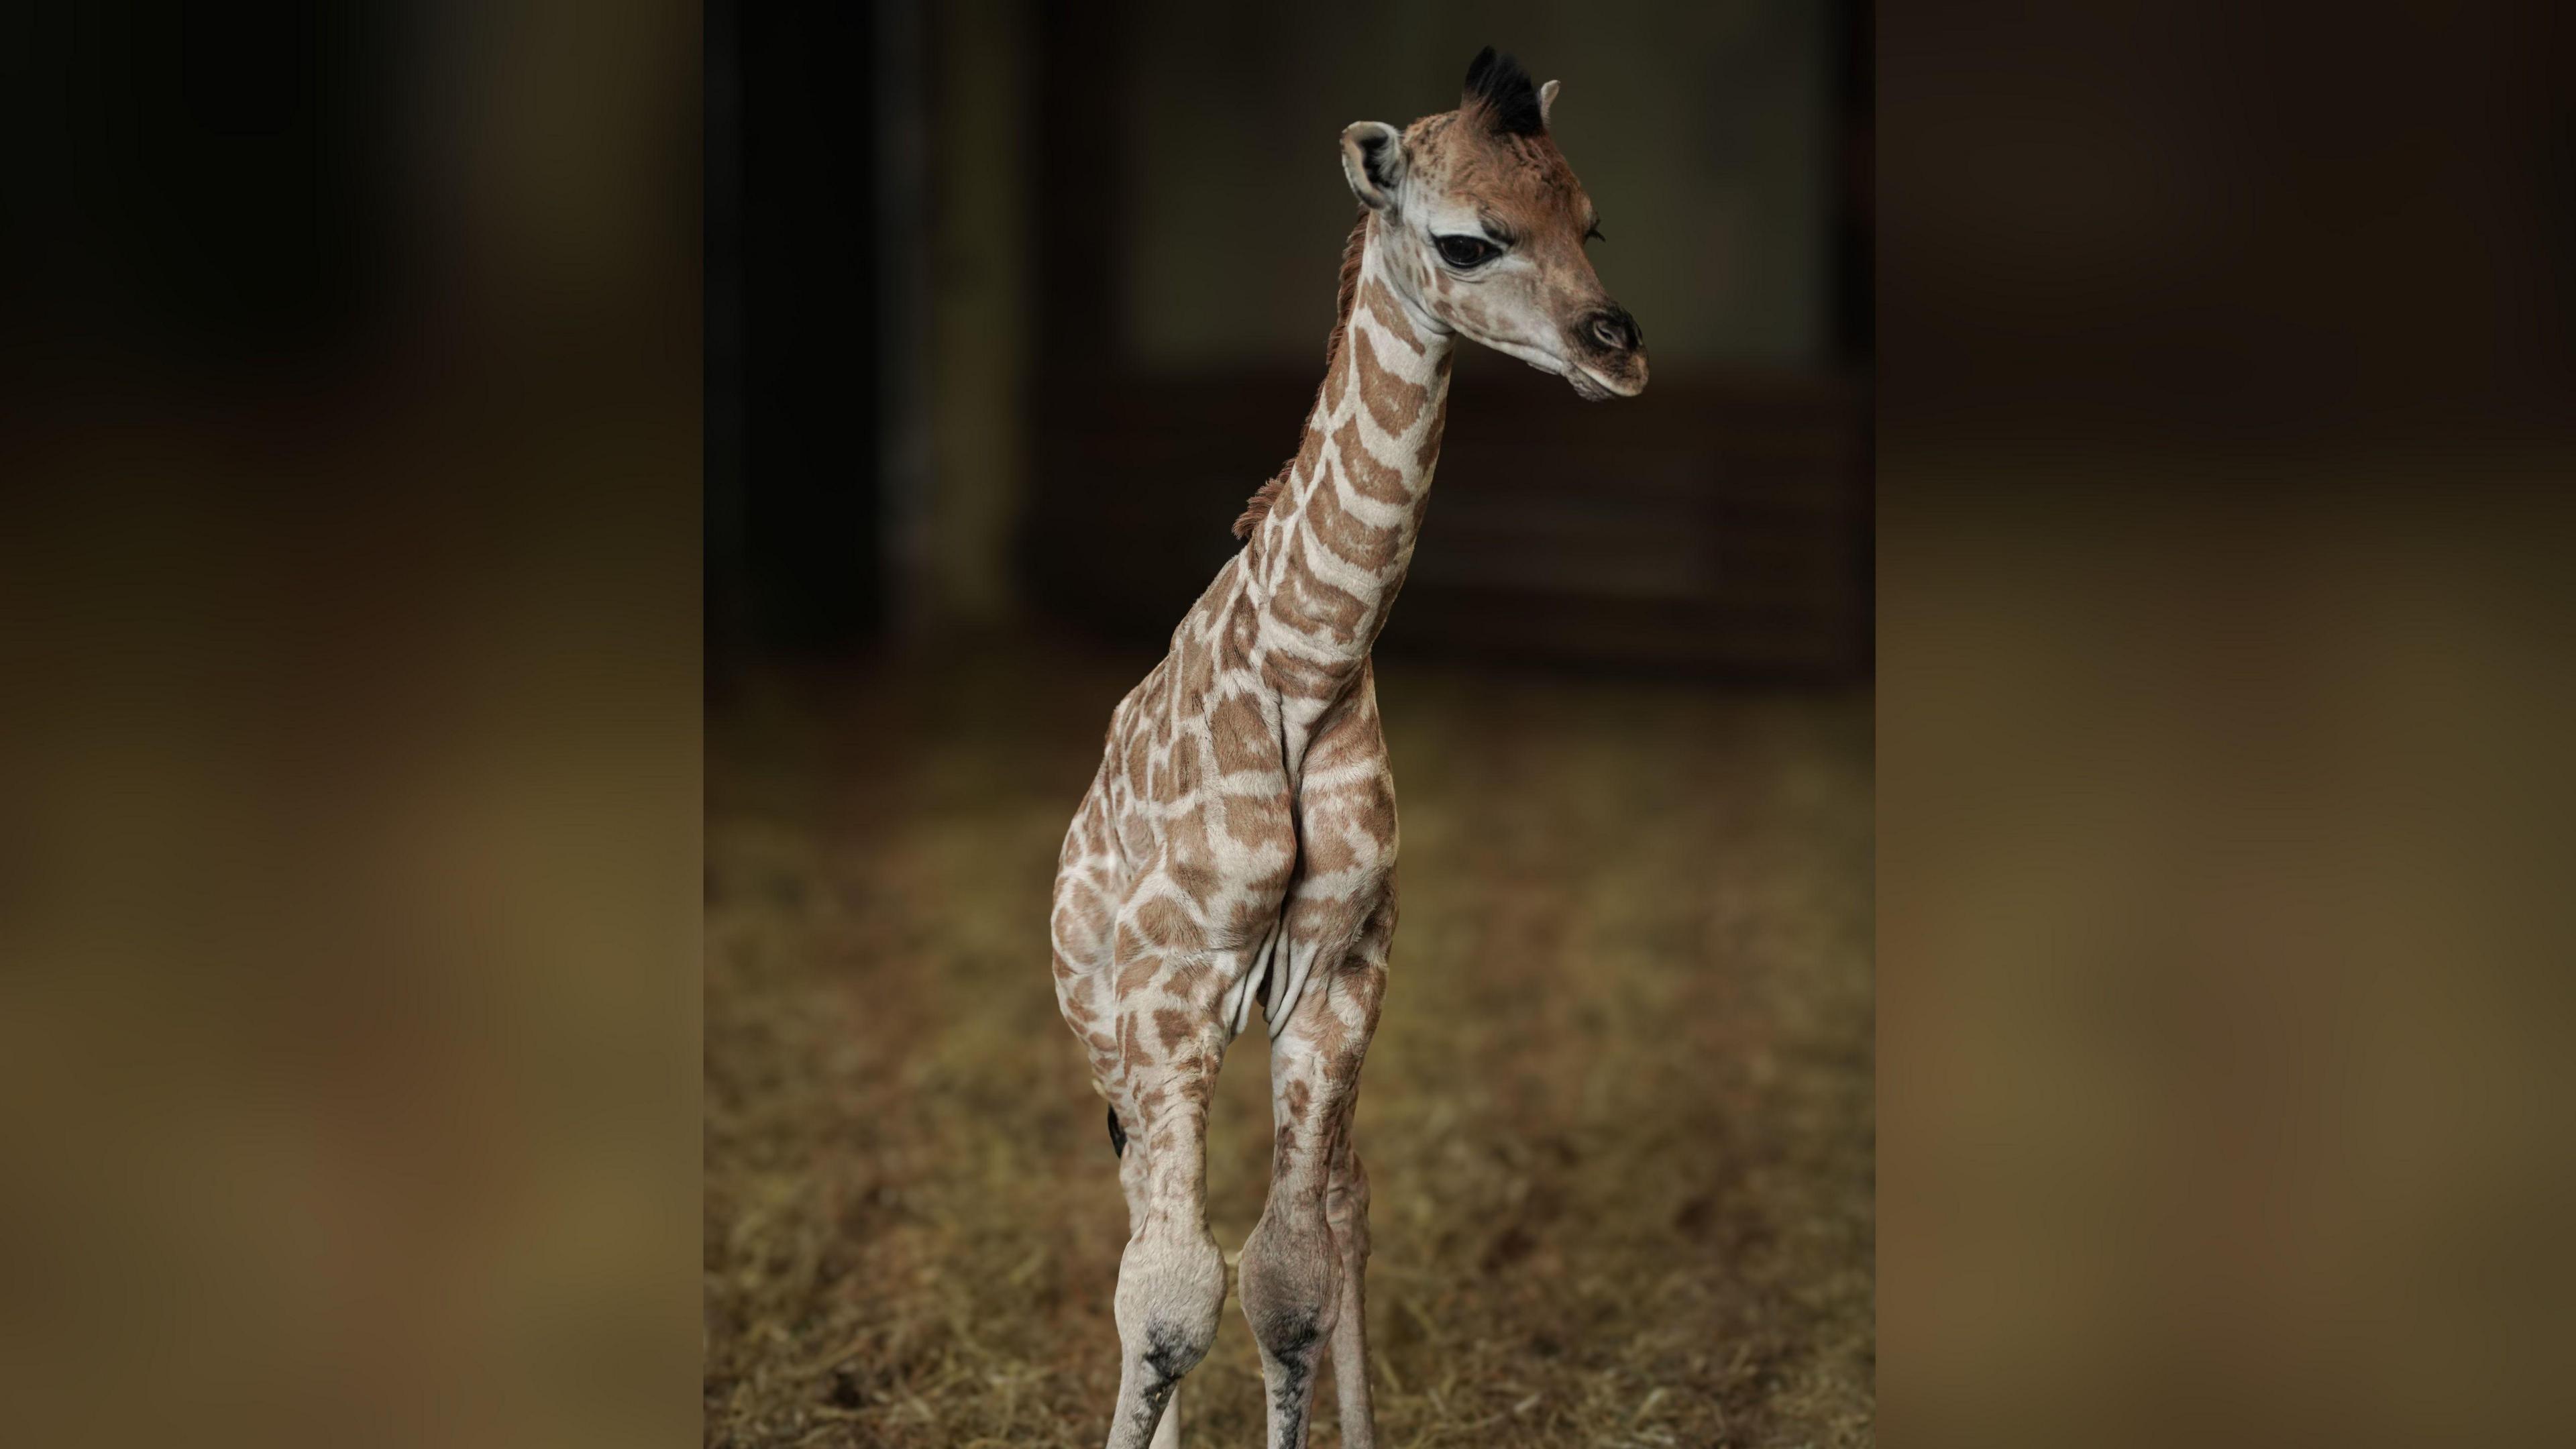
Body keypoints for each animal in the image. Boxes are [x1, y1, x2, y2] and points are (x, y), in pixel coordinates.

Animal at [1051, 45, 1638, 1444]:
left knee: (1337, 1205)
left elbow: (1290, 1273)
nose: (1619, 349)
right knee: (1144, 1244)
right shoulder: (1168, 996)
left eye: (1590, 225)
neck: (1305, 665)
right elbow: (1171, 1297)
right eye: (1469, 240)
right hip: (1102, 1029)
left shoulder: (1339, 978)